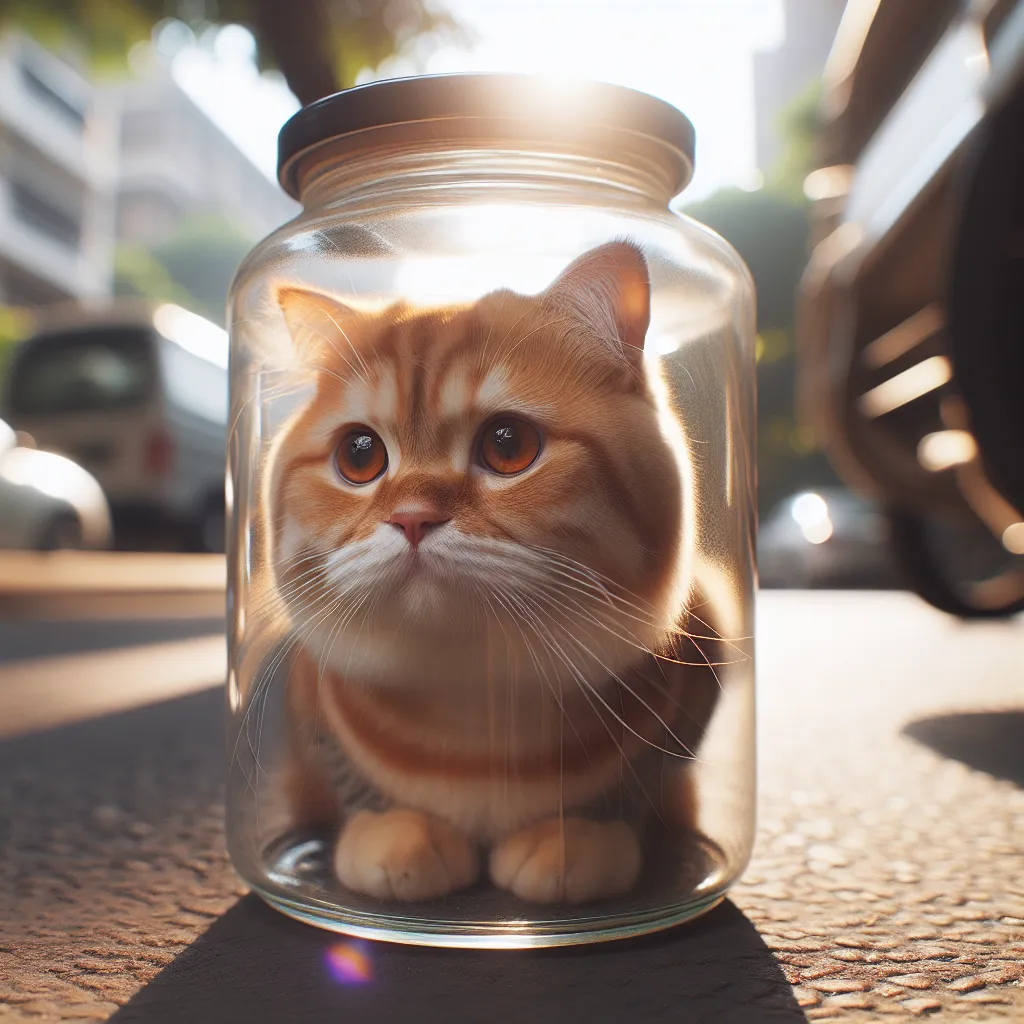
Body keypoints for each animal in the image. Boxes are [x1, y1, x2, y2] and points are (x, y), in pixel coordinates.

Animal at [260, 239, 716, 905]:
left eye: (508, 444)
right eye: (359, 455)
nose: (412, 518)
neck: (474, 700)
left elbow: (637, 784)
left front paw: (574, 836)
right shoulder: (305, 707)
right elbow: (349, 780)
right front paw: (395, 831)